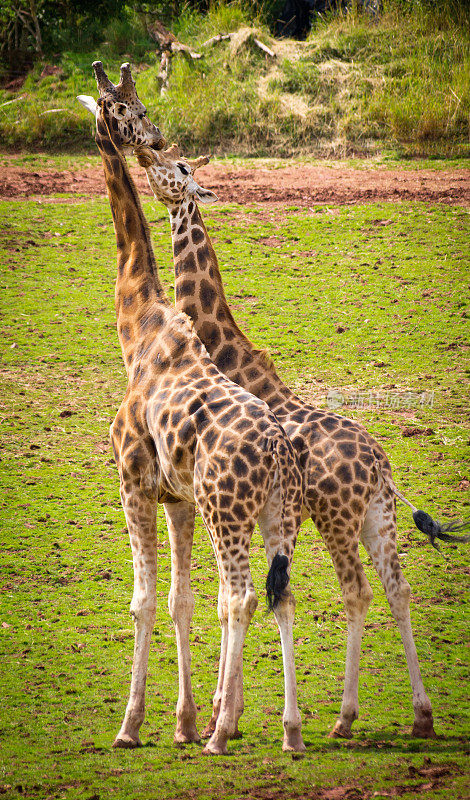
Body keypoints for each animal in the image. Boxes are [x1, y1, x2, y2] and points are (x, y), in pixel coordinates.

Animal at [81, 64, 306, 756]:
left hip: (227, 513)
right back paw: (286, 731)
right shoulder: (175, 496)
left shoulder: (131, 479)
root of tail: (279, 452)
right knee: (279, 595)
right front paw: (179, 721)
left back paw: (224, 732)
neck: (137, 329)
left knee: (242, 597)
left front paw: (131, 726)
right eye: (128, 111)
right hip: (273, 516)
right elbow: (180, 601)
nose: (151, 144)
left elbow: (144, 601)